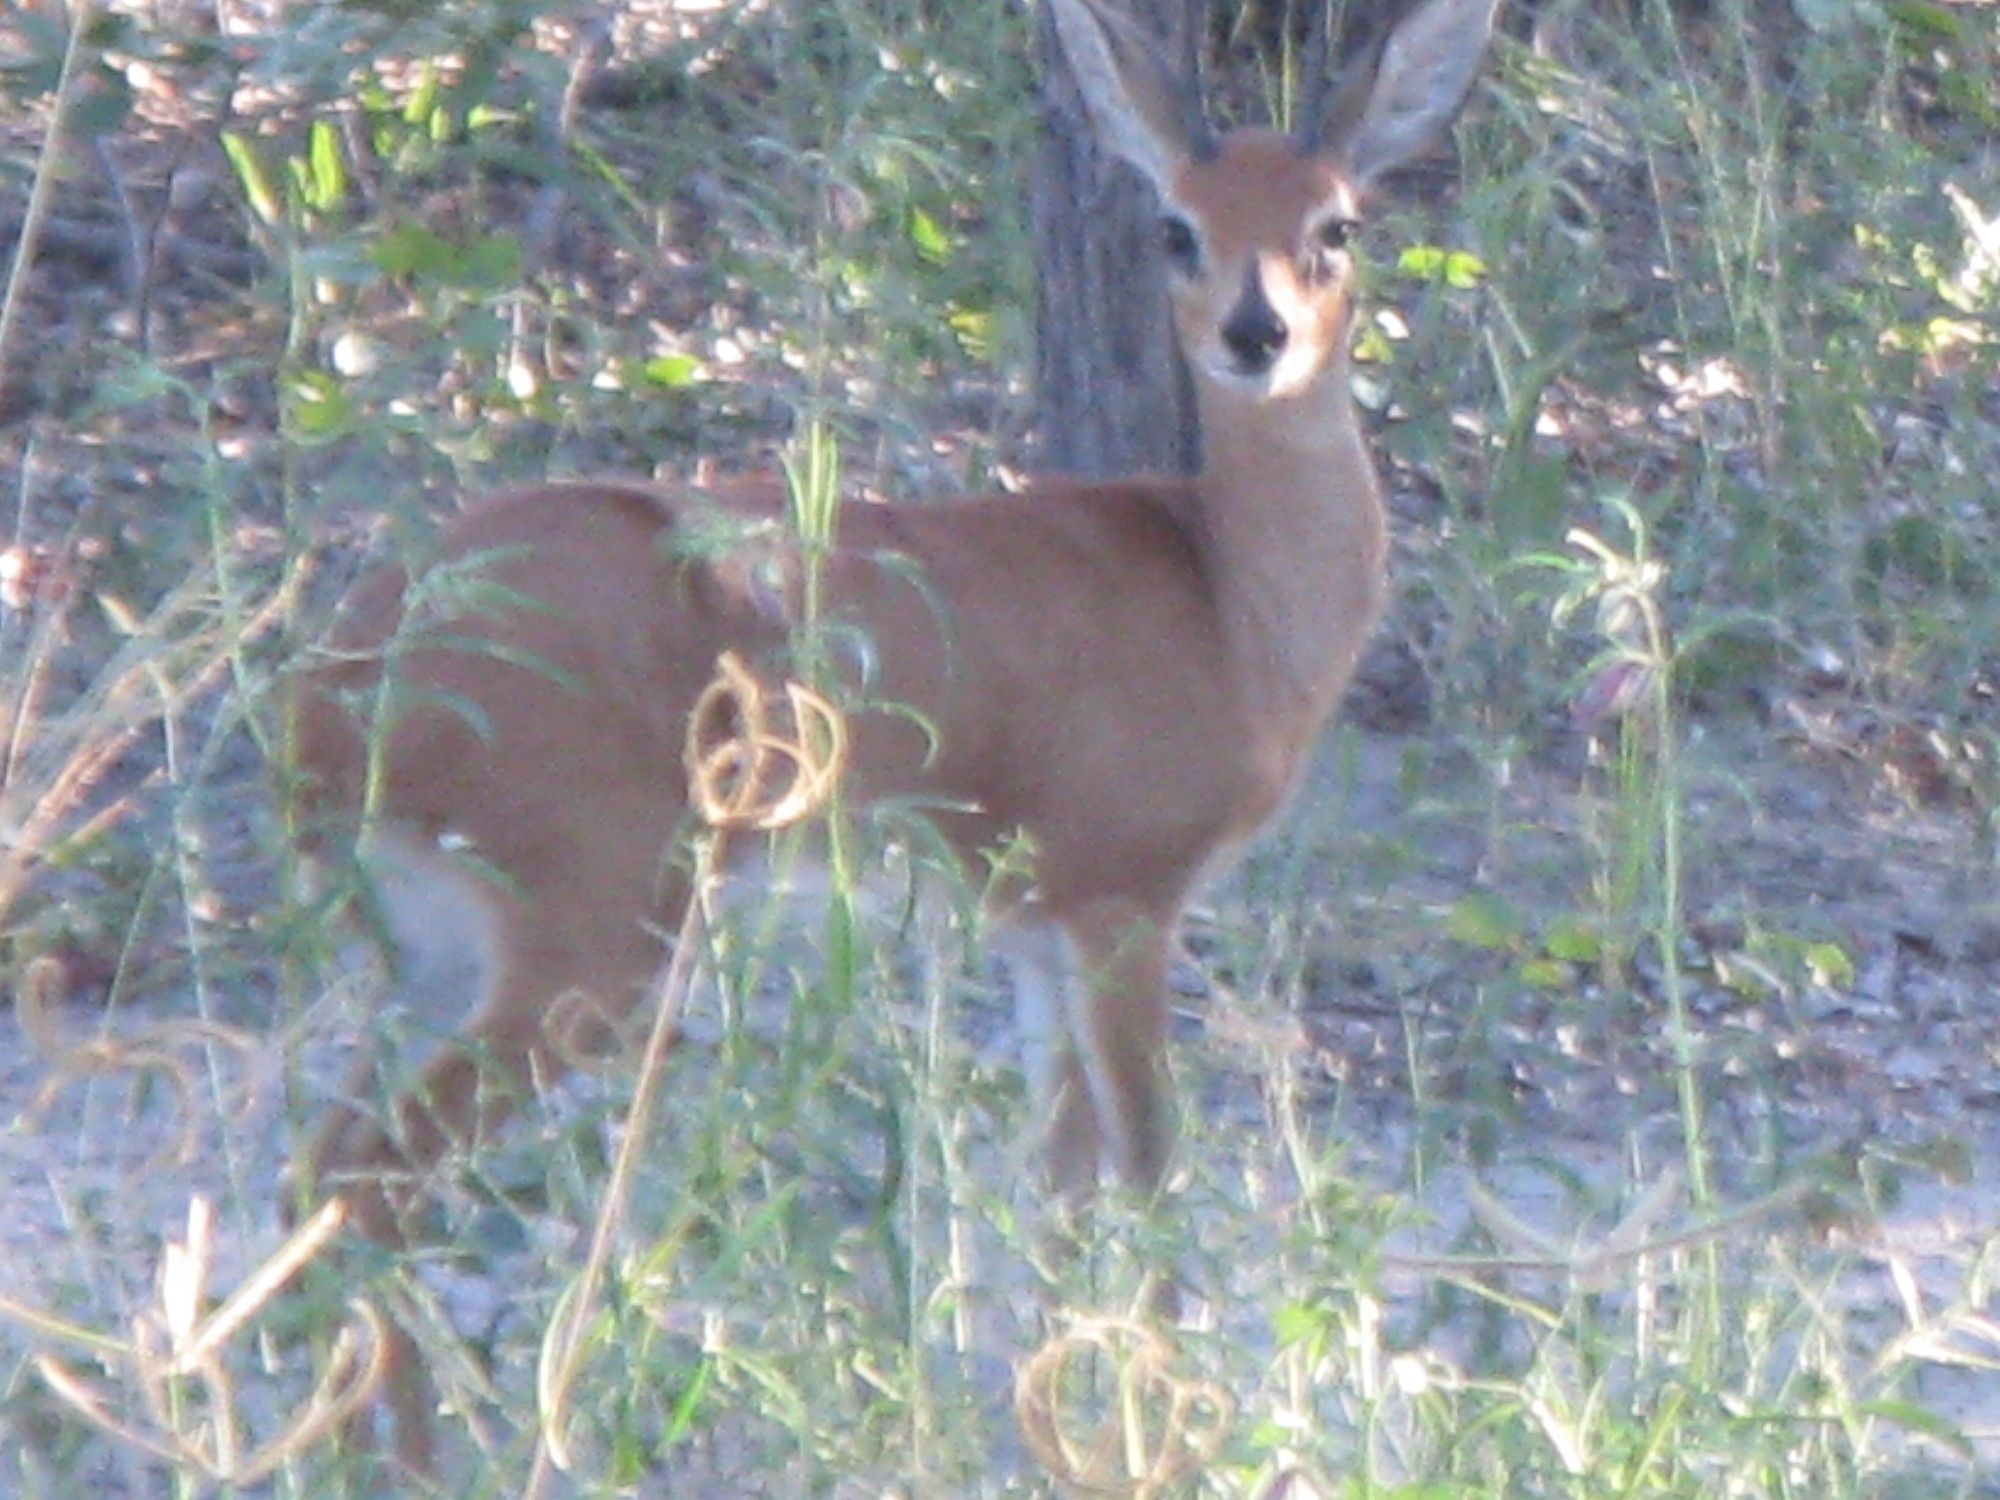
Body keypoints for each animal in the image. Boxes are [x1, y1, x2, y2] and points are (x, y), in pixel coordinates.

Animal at [290, 0, 1496, 1472]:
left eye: (1337, 222)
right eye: (1178, 227)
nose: (1255, 331)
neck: (1228, 592)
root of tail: (341, 684)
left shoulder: (1032, 930)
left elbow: (1057, 1194)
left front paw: (1059, 1438)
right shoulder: (1123, 902)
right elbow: (1148, 1183)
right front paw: (1166, 1443)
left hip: (443, 946)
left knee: (321, 1167)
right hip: (588, 944)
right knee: (371, 1181)